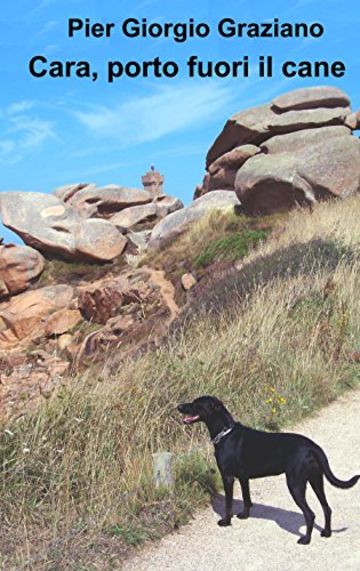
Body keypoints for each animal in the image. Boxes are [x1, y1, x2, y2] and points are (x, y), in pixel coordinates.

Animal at [178, 398, 360, 544]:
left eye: (196, 404)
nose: (178, 406)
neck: (225, 433)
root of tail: (313, 447)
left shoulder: (228, 477)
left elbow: (228, 503)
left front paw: (226, 521)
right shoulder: (243, 478)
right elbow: (246, 499)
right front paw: (244, 515)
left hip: (295, 485)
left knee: (310, 514)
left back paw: (306, 539)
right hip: (316, 481)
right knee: (326, 508)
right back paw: (327, 533)